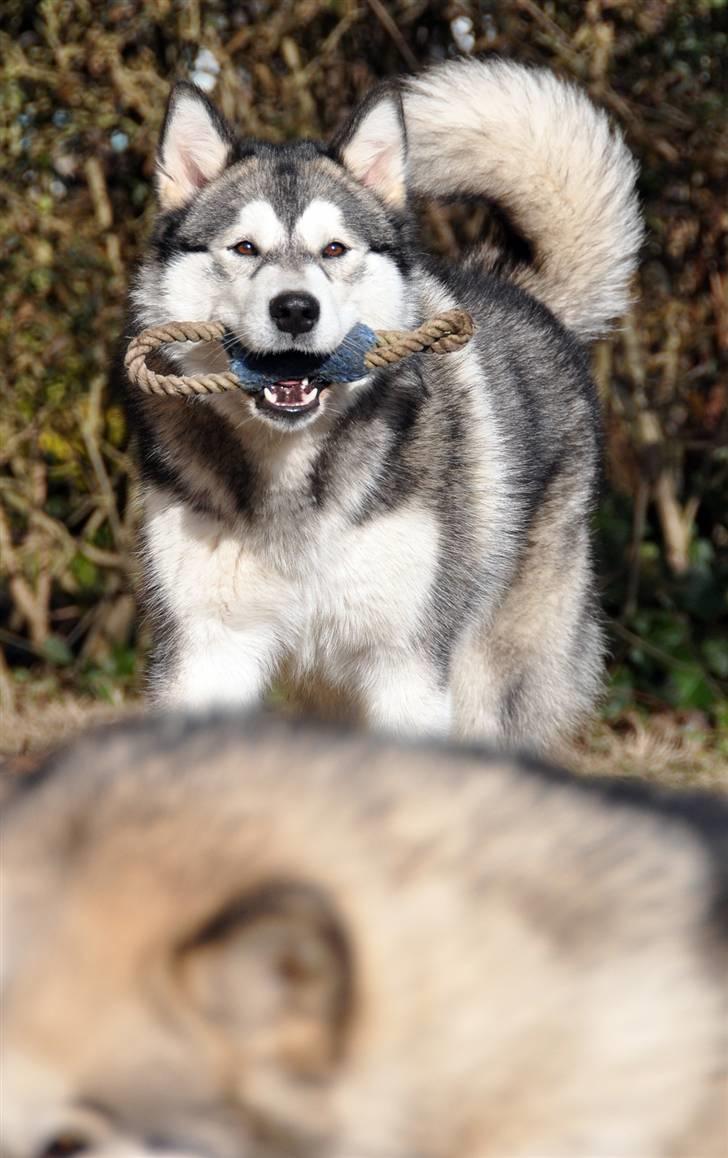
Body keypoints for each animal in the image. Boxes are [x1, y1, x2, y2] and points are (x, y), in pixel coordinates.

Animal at [126, 61, 643, 750]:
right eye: (243, 248)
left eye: (335, 250)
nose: (295, 309)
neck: (292, 475)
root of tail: (521, 291)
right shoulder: (207, 649)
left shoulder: (406, 667)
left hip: (491, 672)